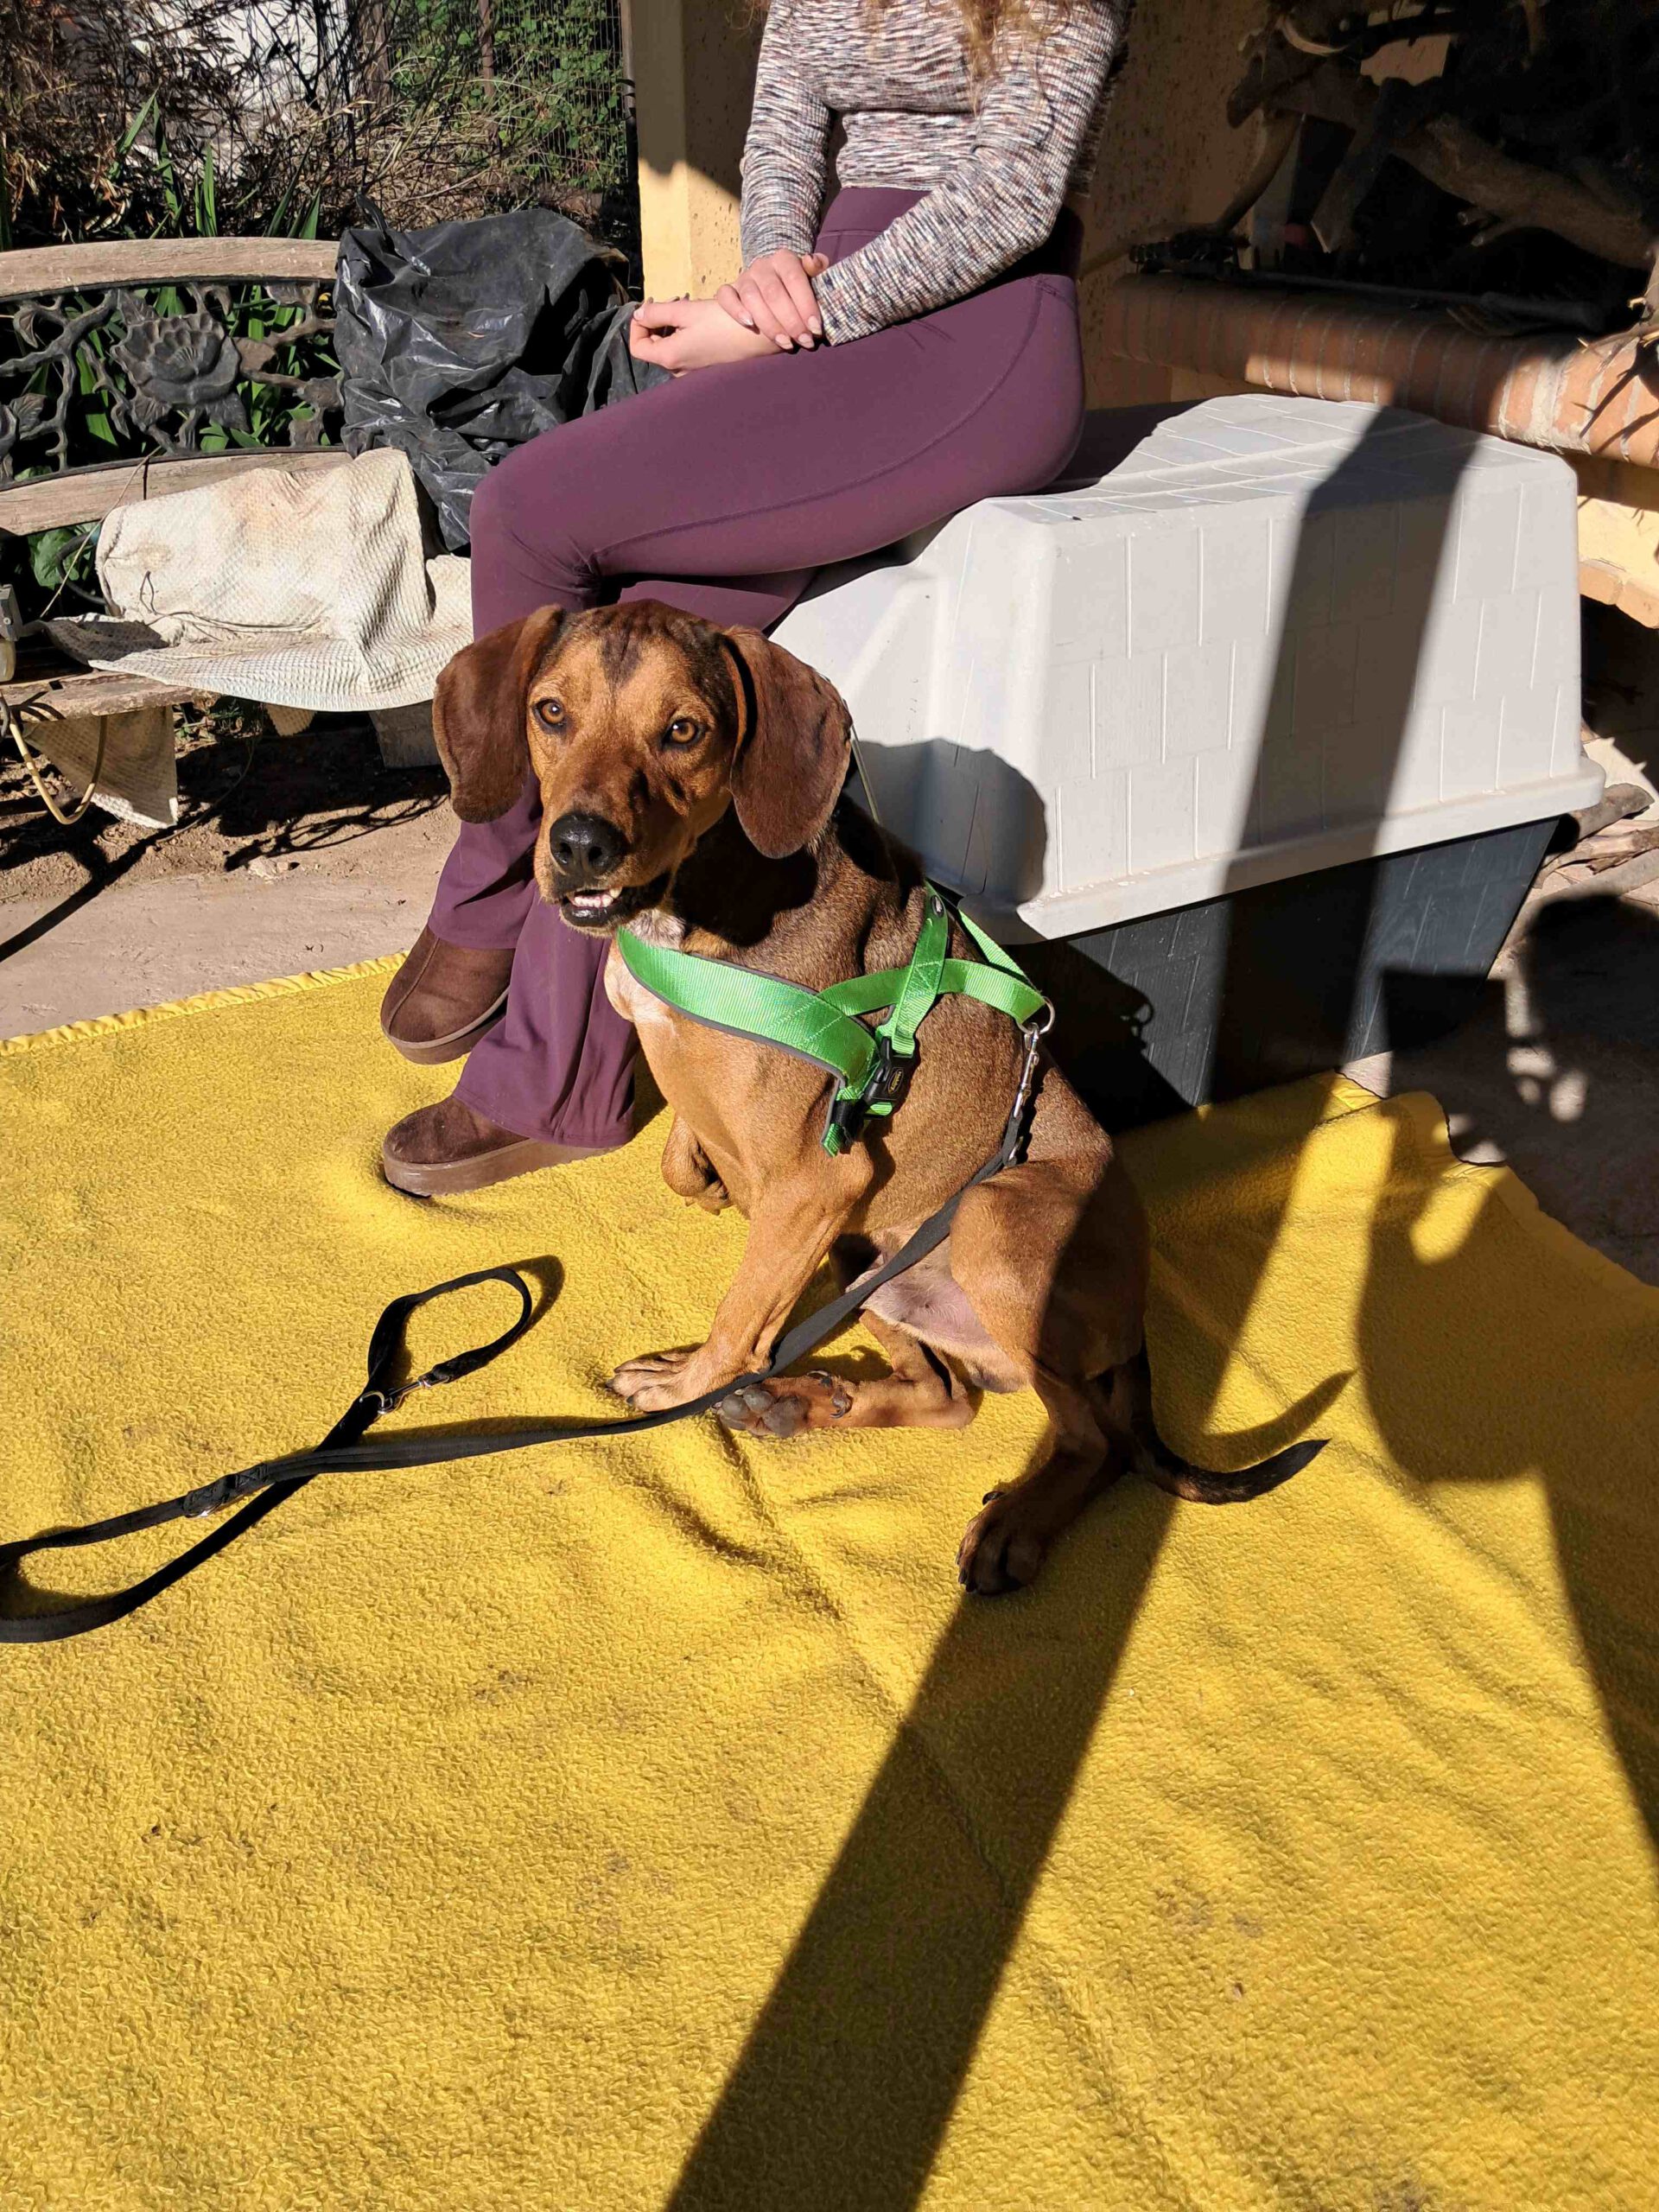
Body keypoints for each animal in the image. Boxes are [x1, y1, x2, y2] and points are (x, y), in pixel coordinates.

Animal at [433, 599, 1320, 1593]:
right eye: (550, 712)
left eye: (685, 731)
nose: (582, 845)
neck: (696, 902)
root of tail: (1136, 1328)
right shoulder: (782, 1175)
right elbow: (681, 1161)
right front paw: (709, 1186)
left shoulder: (820, 1181)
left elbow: (738, 1319)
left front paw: (688, 1383)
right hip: (868, 1264)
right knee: (951, 1397)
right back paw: (799, 1402)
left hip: (992, 1220)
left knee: (1095, 1441)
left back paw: (1010, 1522)